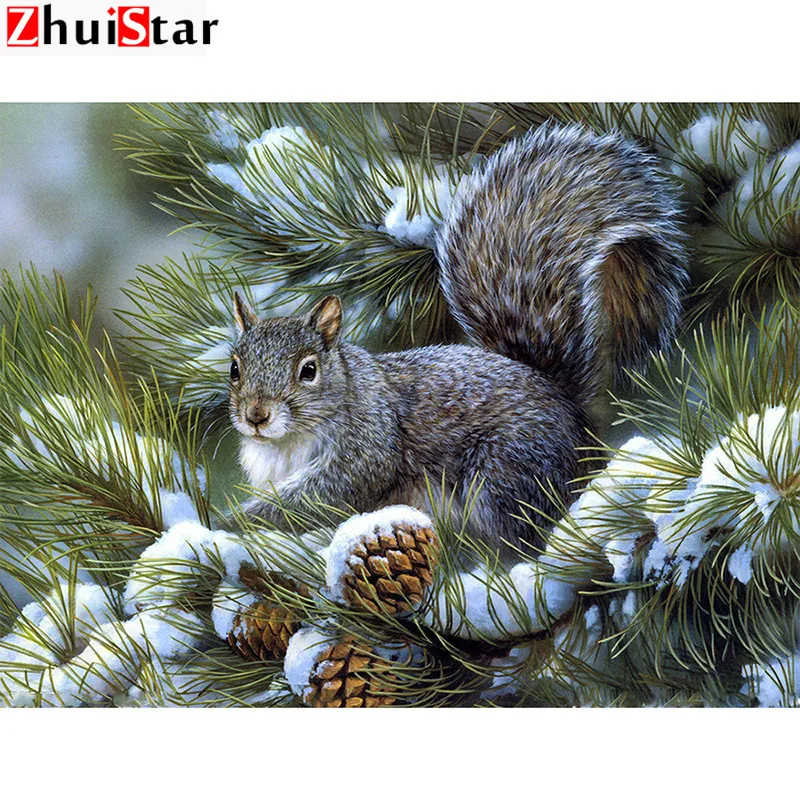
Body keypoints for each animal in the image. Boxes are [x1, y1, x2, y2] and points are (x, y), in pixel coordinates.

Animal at [227, 124, 688, 555]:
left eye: (309, 370)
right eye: (234, 369)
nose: (256, 416)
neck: (286, 442)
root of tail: (574, 418)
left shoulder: (368, 445)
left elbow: (323, 496)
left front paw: (241, 520)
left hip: (506, 471)